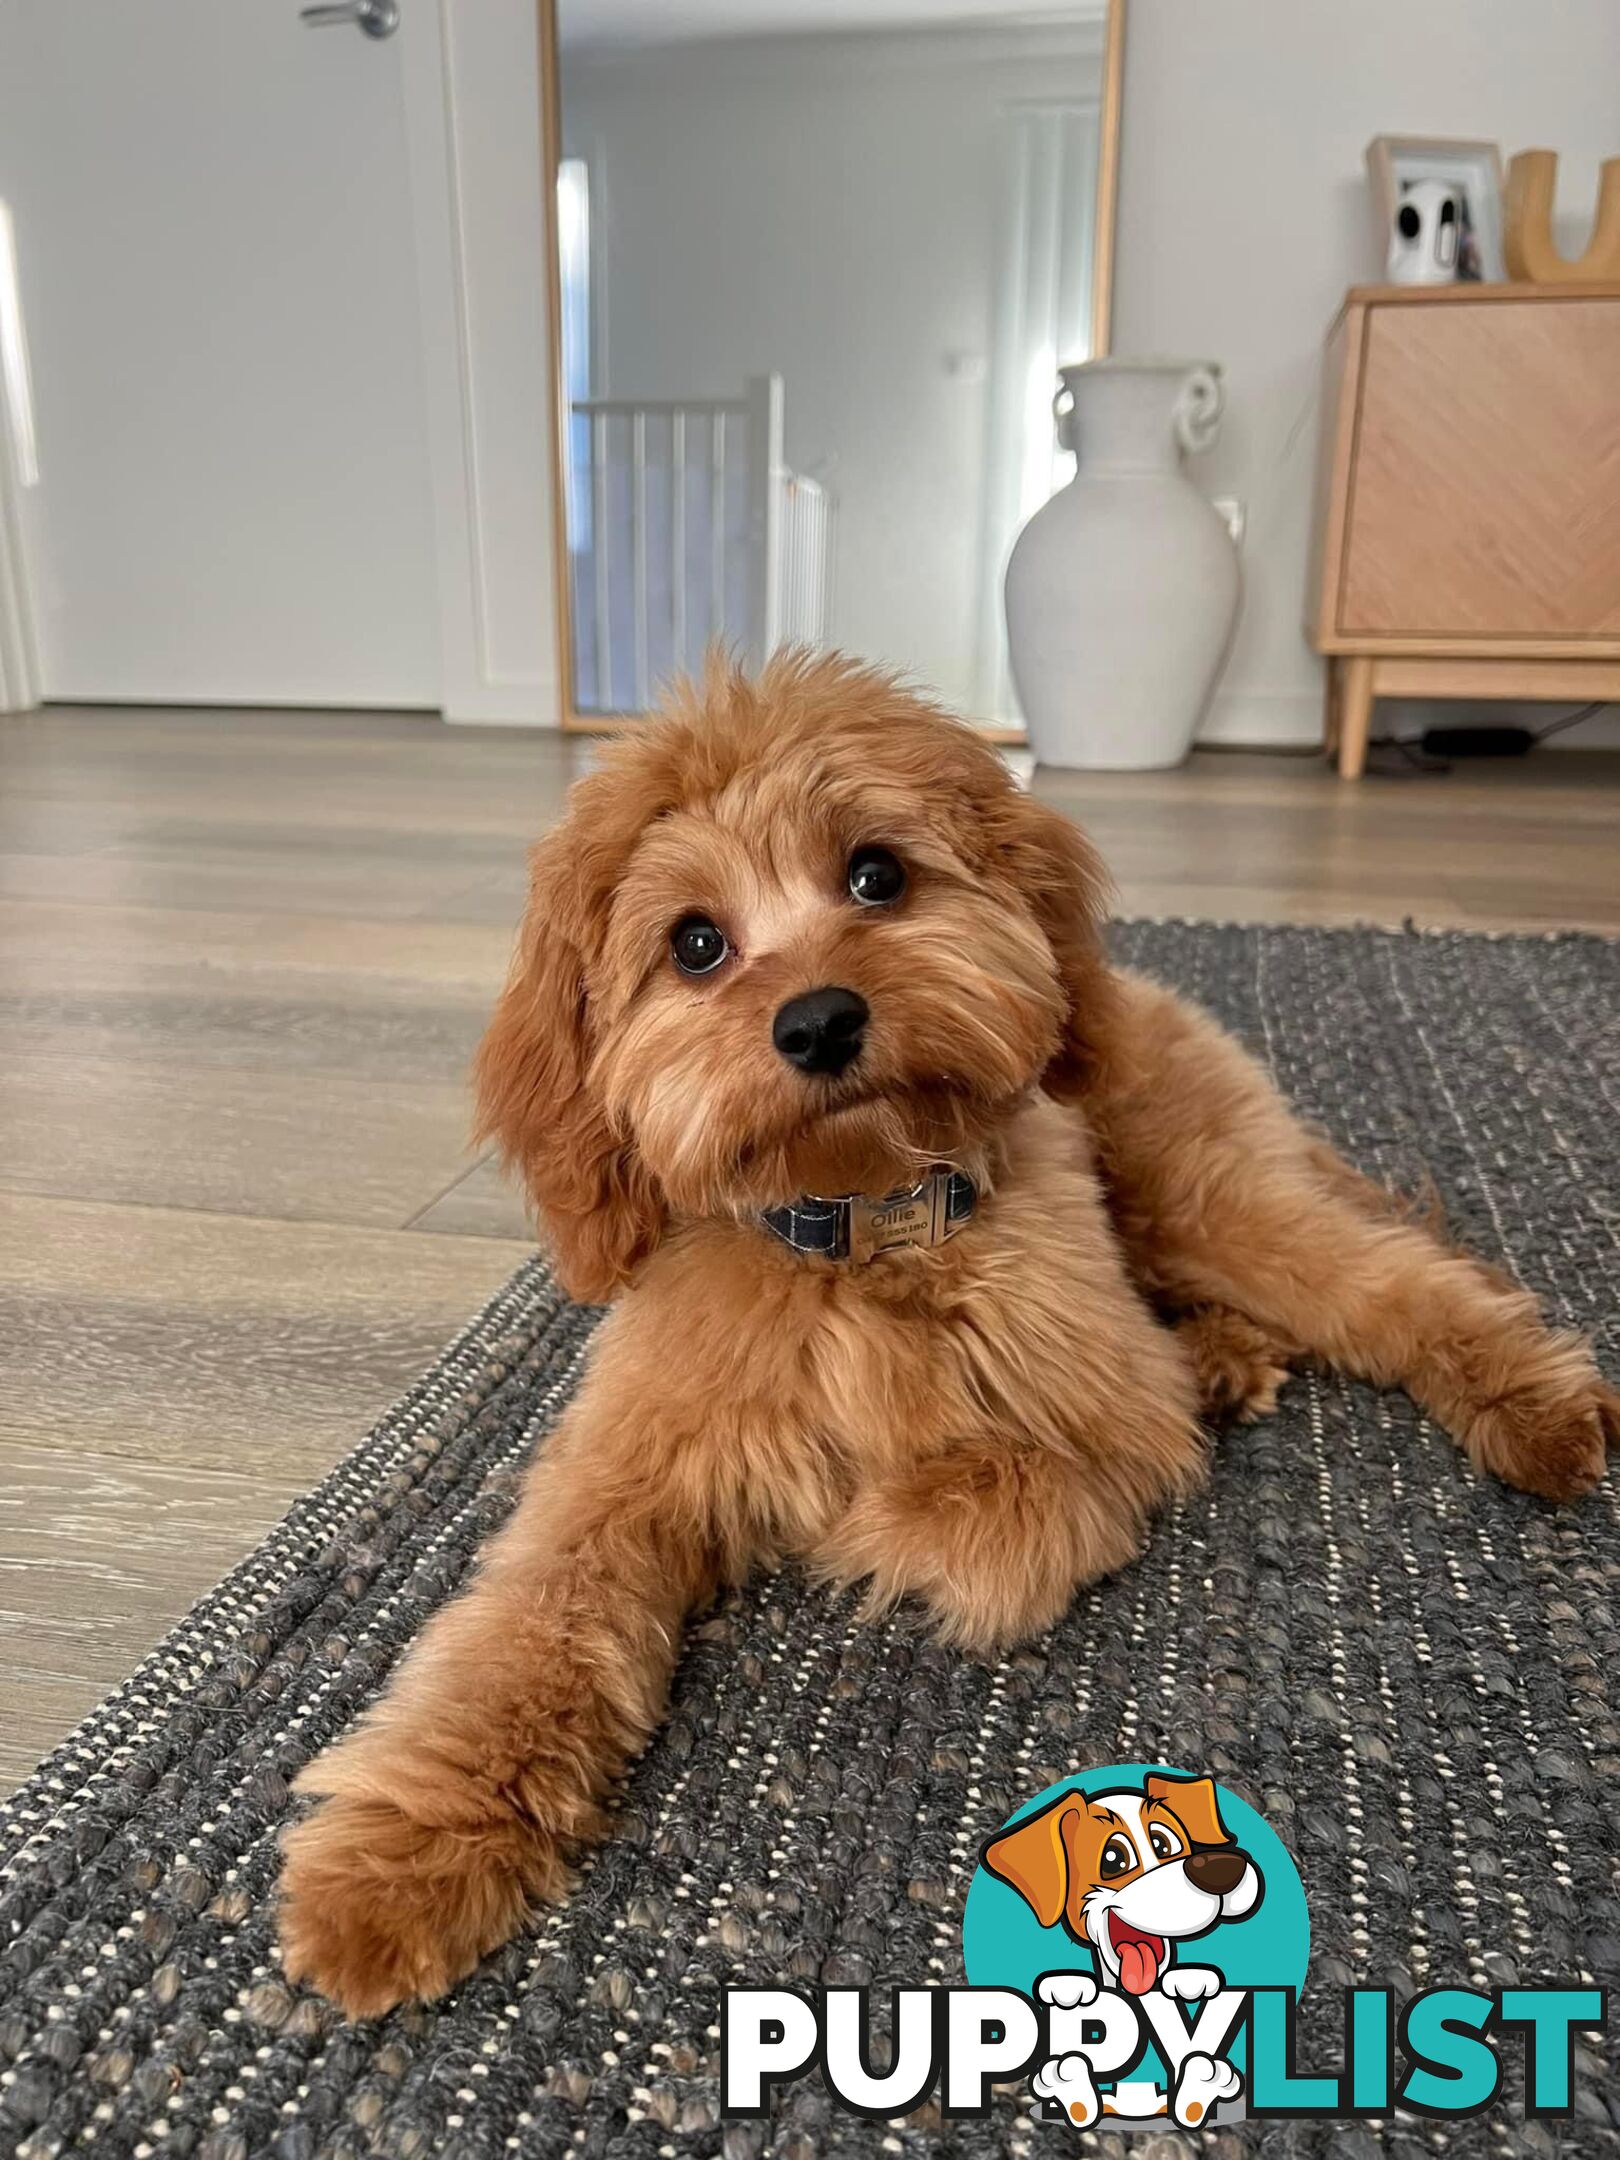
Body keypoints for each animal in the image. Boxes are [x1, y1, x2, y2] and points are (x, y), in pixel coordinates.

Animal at [276, 648, 1615, 2013]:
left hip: (1206, 1193)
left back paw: (1535, 1403)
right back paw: (1231, 1358)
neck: (865, 1225)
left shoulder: (1106, 1415)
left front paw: (849, 1514)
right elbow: (514, 1642)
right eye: (694, 943)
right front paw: (406, 1861)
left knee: (1391, 1286)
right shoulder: (610, 1482)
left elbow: (976, 1497)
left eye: (877, 873)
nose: (817, 1020)